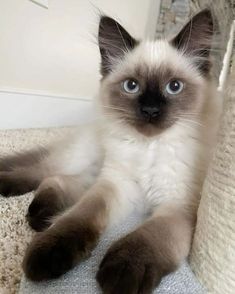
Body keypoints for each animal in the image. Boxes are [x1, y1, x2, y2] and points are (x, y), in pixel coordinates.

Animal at [0, 9, 220, 294]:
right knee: (46, 171)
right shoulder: (115, 184)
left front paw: (122, 273)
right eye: (131, 86)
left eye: (174, 87)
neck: (149, 147)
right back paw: (19, 196)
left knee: (57, 179)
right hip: (86, 159)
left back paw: (42, 214)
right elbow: (79, 217)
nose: (150, 111)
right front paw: (48, 256)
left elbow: (149, 237)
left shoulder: (179, 204)